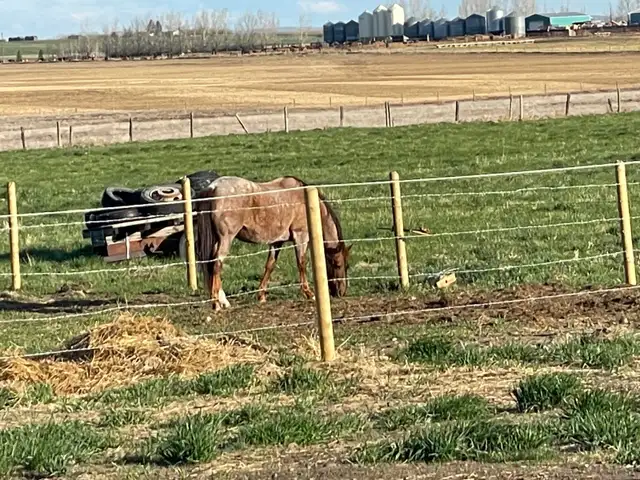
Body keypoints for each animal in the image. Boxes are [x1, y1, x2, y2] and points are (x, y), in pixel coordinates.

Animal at [195, 175, 351, 311]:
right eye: (338, 264)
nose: (341, 292)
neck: (303, 199)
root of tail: (213, 187)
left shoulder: (277, 242)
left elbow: (270, 265)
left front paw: (261, 296)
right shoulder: (301, 236)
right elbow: (301, 263)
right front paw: (309, 293)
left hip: (216, 240)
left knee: (211, 265)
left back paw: (222, 301)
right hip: (226, 239)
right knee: (217, 265)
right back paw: (217, 304)